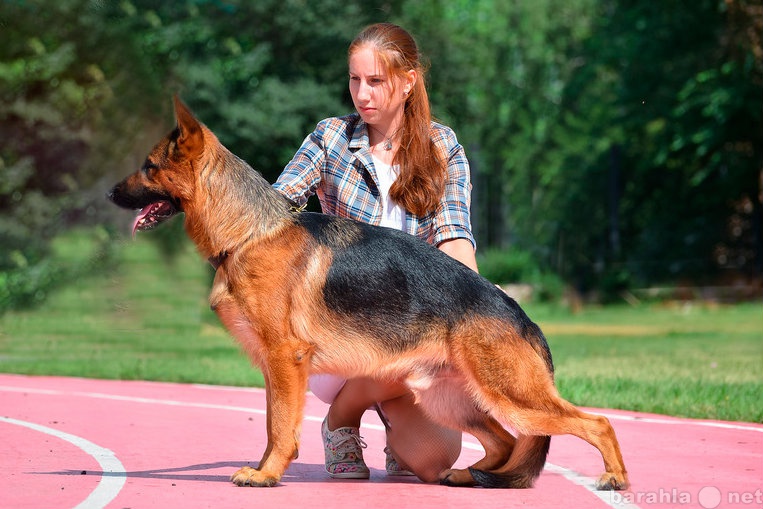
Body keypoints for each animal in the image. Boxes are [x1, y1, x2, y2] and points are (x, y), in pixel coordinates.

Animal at [109, 97, 632, 490]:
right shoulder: (274, 368)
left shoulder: (285, 358)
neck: (249, 232)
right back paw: (468, 475)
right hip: (450, 401)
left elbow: (280, 427)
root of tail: (522, 316)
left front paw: (267, 475)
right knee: (503, 442)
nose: (110, 194)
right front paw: (264, 469)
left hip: (513, 397)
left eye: (148, 167)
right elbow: (273, 422)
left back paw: (615, 478)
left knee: (597, 423)